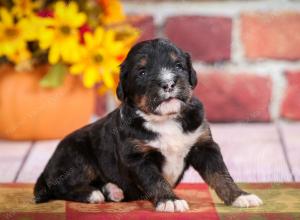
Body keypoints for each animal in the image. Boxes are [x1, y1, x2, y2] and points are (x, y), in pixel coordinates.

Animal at [34, 38, 262, 211]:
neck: (165, 119)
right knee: (60, 186)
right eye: (142, 72)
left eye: (178, 65)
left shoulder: (204, 145)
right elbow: (155, 179)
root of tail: (47, 168)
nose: (168, 83)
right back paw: (93, 194)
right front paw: (170, 201)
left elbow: (221, 174)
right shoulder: (138, 157)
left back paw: (112, 190)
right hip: (77, 156)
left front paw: (240, 196)